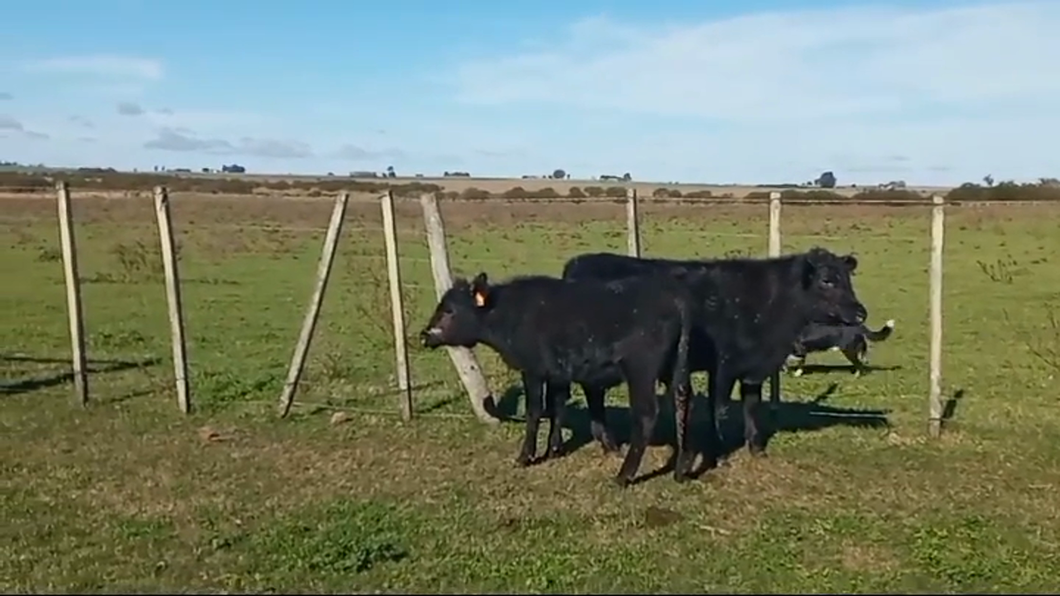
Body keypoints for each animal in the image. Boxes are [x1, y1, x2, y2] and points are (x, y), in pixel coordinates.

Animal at [417, 271, 699, 485]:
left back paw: (623, 476)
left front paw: (525, 457)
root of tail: (673, 297)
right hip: (675, 369)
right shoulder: (558, 373)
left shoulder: (533, 370)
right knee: (684, 402)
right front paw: (554, 450)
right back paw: (682, 469)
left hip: (641, 371)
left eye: (450, 310)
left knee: (646, 414)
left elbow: (535, 411)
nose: (424, 335)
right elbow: (557, 406)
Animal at [559, 246, 864, 460]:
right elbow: (720, 409)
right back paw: (608, 443)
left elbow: (752, 406)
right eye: (827, 280)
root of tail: (578, 263)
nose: (861, 312)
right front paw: (718, 450)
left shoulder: (751, 367)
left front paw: (756, 448)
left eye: (848, 279)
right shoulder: (724, 365)